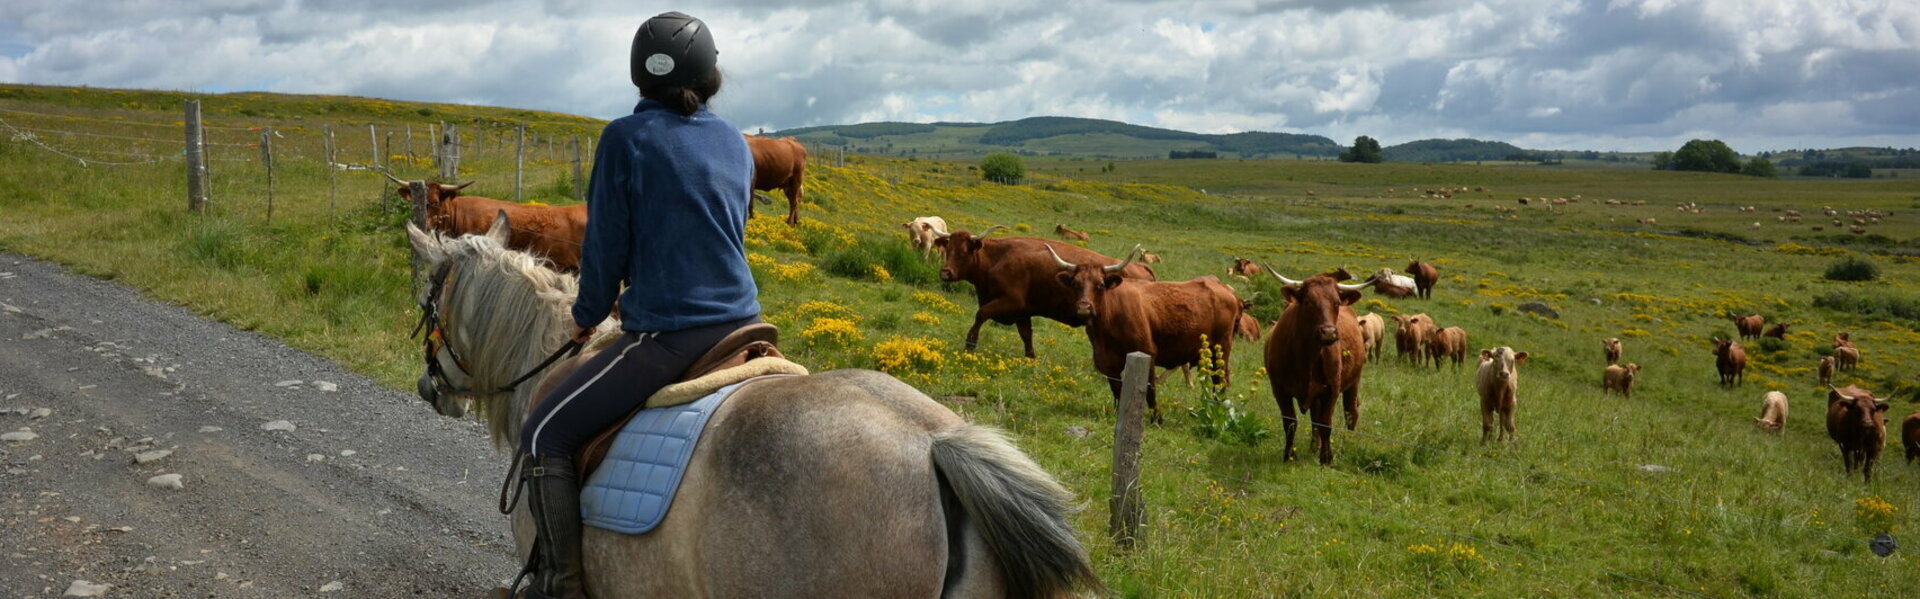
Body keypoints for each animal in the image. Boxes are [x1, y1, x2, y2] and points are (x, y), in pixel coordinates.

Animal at [1052, 245, 1244, 424]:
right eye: (1075, 283)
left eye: (1100, 285)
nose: (1084, 308)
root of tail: (1227, 290)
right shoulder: (1107, 363)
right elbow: (1117, 390)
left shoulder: (1147, 354)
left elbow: (1150, 390)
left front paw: (1156, 419)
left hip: (1221, 350)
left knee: (1219, 381)